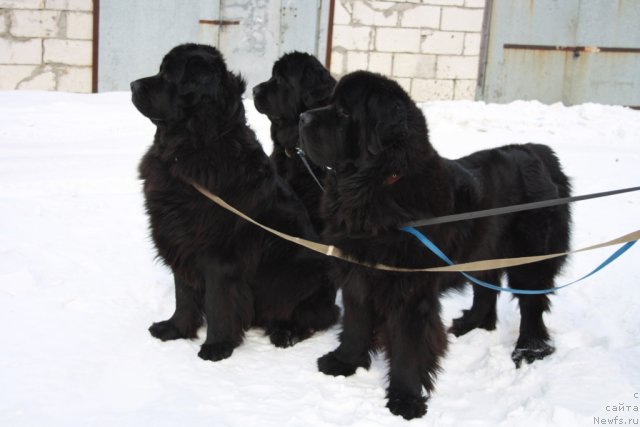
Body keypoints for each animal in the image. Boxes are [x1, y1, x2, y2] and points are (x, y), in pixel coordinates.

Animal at [298, 72, 568, 420]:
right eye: (330, 102)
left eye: (344, 112)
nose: (302, 117)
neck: (375, 188)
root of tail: (536, 150)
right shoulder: (357, 273)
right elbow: (356, 321)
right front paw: (344, 363)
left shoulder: (410, 290)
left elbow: (408, 346)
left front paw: (405, 400)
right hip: (482, 251)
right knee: (487, 289)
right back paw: (470, 324)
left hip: (530, 258)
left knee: (532, 303)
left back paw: (529, 350)